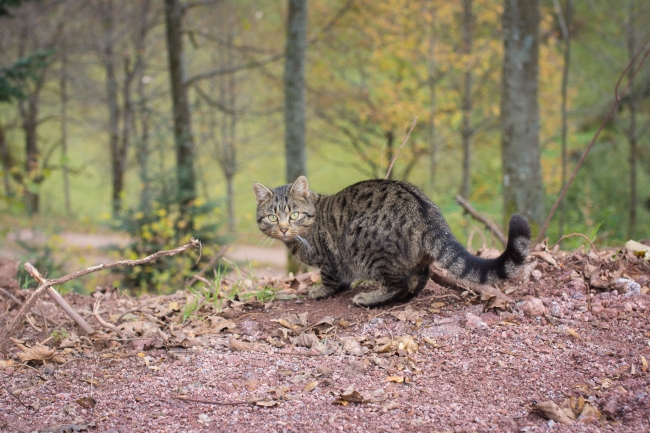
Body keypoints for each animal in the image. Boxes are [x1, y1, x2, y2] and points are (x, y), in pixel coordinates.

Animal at [251, 176, 528, 308]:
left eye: (294, 215)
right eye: (273, 217)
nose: (283, 228)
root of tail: (427, 214)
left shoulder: (330, 260)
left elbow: (331, 279)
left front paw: (319, 291)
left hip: (364, 244)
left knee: (398, 284)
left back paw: (370, 298)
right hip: (417, 259)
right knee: (418, 280)